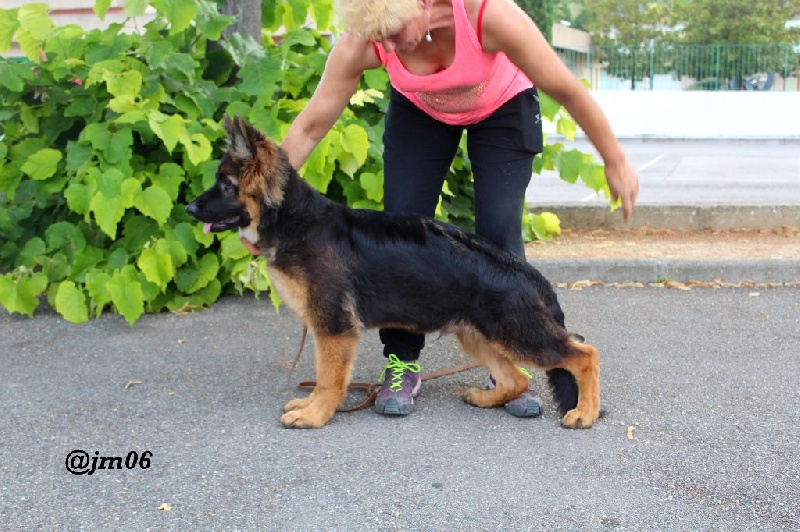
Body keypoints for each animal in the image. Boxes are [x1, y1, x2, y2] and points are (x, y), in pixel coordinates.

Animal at [186, 116, 600, 428]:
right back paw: (487, 398)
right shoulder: (328, 329)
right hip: (478, 336)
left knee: (584, 354)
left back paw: (585, 412)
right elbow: (323, 377)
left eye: (225, 185)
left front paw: (315, 414)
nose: (189, 208)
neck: (297, 221)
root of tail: (529, 274)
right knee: (515, 378)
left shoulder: (333, 328)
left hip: (517, 334)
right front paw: (310, 407)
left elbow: (327, 379)